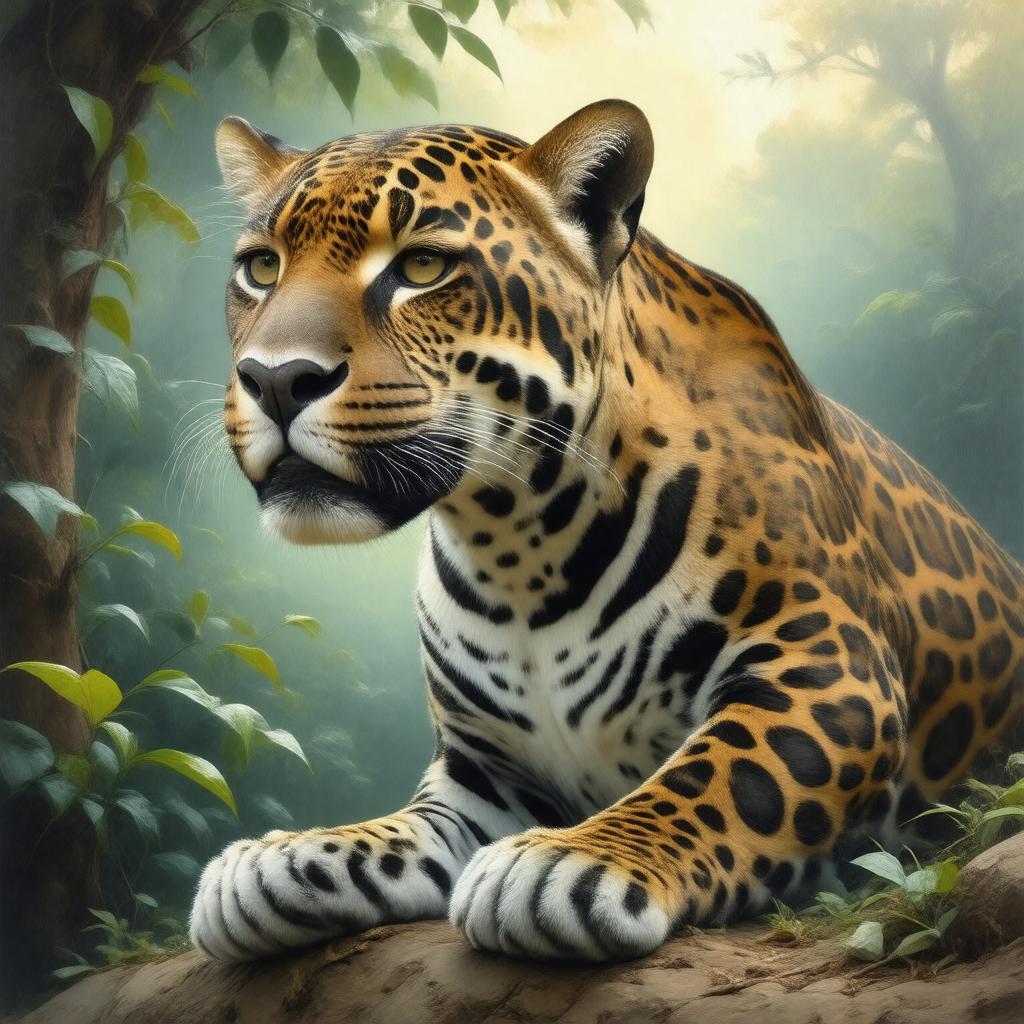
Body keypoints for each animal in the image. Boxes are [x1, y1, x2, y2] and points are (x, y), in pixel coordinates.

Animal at [189, 99, 1024, 963]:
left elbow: (719, 776)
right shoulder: (484, 773)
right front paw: (280, 859)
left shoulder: (831, 668)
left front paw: (577, 860)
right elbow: (403, 830)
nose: (276, 380)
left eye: (421, 268)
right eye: (262, 269)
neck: (514, 545)